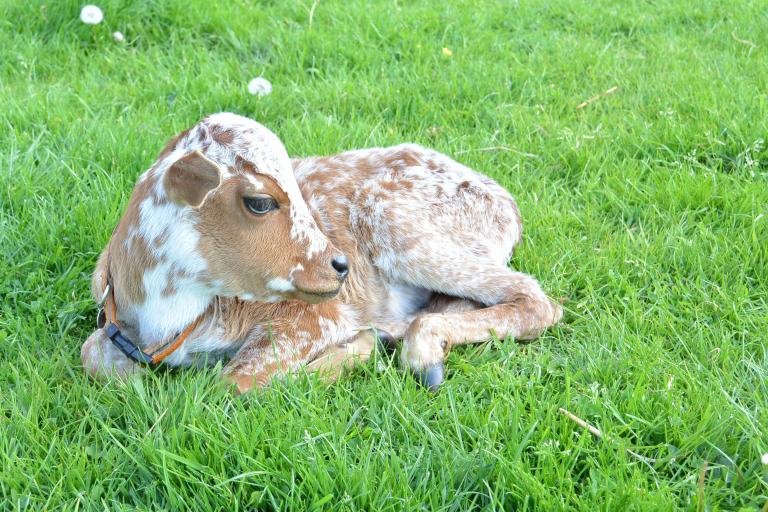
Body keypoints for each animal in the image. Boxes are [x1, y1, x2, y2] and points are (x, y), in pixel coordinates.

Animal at [82, 113, 564, 392]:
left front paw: (357, 349)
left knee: (535, 299)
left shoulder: (318, 314)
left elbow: (237, 383)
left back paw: (420, 355)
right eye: (259, 201)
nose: (340, 266)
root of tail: (508, 204)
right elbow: (93, 355)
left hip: (397, 223)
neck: (168, 322)